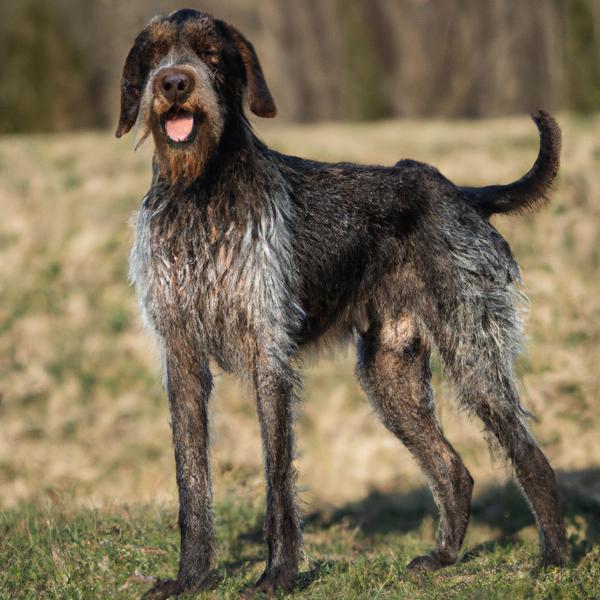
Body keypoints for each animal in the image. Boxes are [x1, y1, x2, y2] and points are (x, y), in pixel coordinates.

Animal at [116, 7, 568, 596]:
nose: (173, 83)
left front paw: (278, 574)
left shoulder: (269, 354)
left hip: (473, 355)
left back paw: (555, 558)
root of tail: (460, 192)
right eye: (155, 55)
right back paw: (443, 557)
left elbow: (278, 478)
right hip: (389, 376)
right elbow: (191, 483)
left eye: (210, 53)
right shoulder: (182, 357)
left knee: (531, 457)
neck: (201, 195)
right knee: (455, 472)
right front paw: (190, 576)